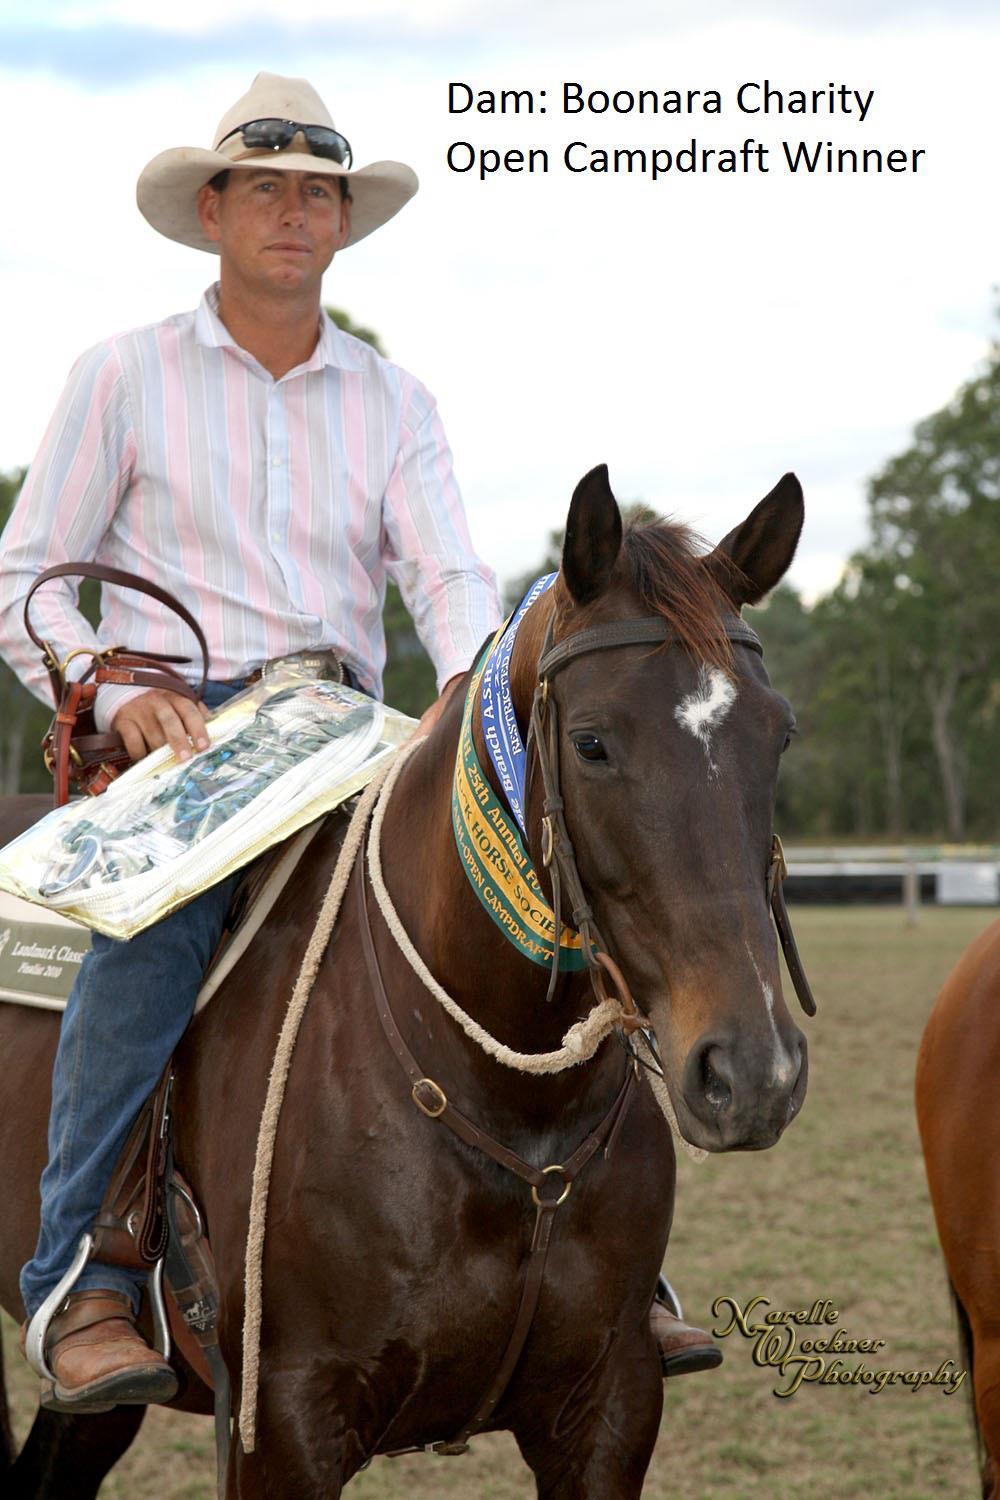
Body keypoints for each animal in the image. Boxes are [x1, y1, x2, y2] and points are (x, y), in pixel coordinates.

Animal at [0, 463, 810, 1498]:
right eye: (592, 742)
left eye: (777, 735)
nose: (752, 1073)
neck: (510, 1107)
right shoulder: (281, 1428)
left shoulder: (610, 1407)